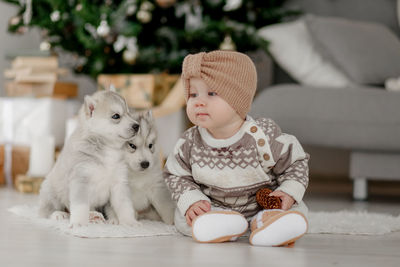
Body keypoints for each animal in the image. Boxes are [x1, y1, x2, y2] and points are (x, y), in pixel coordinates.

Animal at [38, 90, 141, 228]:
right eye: (116, 116)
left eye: (129, 113)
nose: (137, 126)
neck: (107, 147)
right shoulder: (81, 180)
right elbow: (80, 206)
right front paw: (79, 223)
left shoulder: (119, 183)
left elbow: (125, 205)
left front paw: (129, 221)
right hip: (51, 191)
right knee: (46, 211)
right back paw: (60, 214)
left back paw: (103, 217)